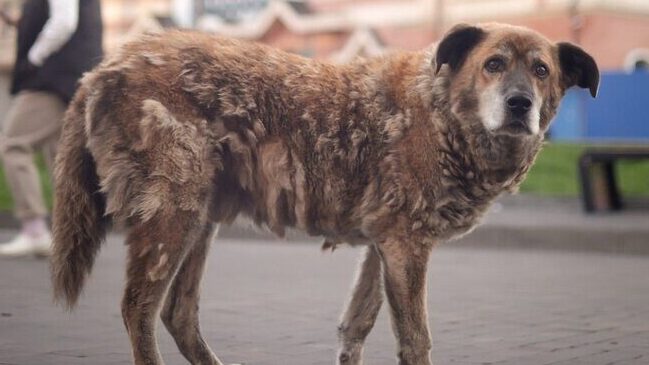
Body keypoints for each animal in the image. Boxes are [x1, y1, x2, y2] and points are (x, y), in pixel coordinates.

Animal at [50, 23, 596, 364]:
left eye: (542, 70)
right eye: (493, 64)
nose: (520, 104)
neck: (441, 112)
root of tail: (102, 69)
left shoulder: (385, 247)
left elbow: (356, 328)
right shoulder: (406, 248)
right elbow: (416, 340)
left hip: (198, 219)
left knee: (177, 315)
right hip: (172, 216)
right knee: (138, 310)